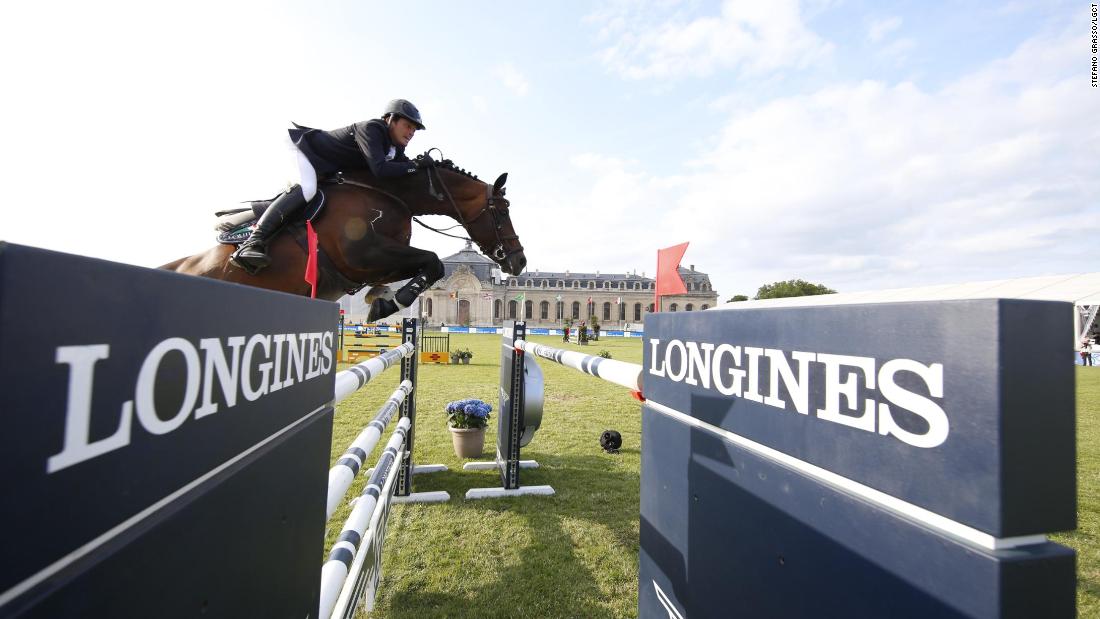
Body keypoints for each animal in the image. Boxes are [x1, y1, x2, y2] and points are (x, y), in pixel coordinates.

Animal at [158, 155, 528, 323]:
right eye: (502, 209)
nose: (518, 260)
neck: (387, 192)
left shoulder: (378, 262)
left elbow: (426, 266)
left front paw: (381, 299)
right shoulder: (363, 255)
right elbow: (434, 262)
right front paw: (387, 304)